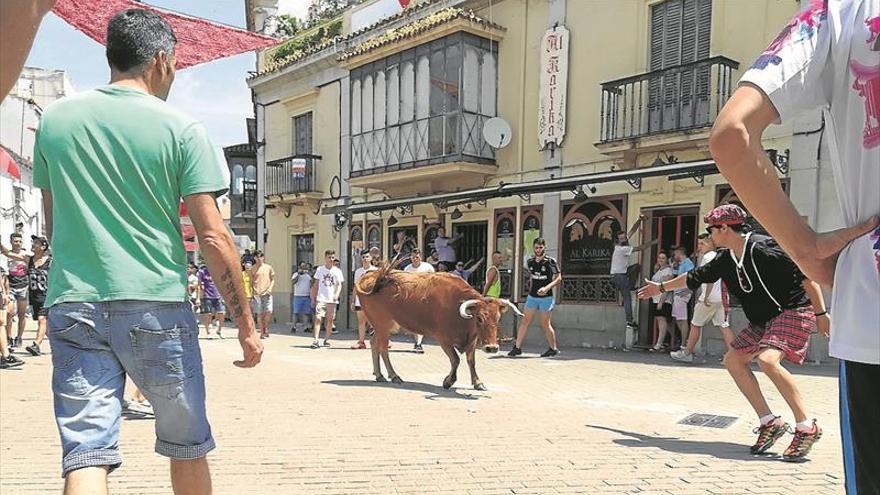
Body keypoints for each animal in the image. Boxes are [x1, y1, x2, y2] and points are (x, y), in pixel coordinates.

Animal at [356, 264, 524, 392]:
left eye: (498, 318)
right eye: (479, 318)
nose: (492, 348)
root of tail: (371, 275)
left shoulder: (472, 340)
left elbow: (471, 361)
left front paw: (477, 382)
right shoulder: (443, 339)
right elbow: (455, 359)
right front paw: (448, 381)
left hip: (383, 327)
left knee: (374, 344)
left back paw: (379, 375)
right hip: (383, 324)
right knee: (383, 348)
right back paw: (394, 375)